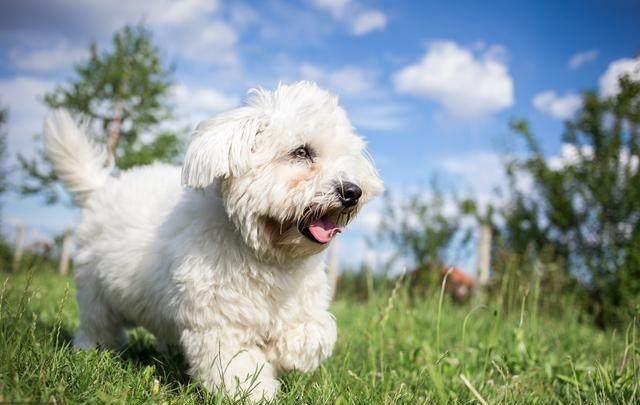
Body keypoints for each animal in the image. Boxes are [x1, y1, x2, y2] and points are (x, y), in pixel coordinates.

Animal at [46, 80, 384, 400]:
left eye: (346, 157)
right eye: (301, 152)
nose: (352, 191)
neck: (266, 253)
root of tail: (102, 187)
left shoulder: (303, 303)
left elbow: (315, 332)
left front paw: (287, 351)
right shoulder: (220, 322)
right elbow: (237, 366)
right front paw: (254, 394)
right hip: (95, 291)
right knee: (97, 324)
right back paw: (91, 350)